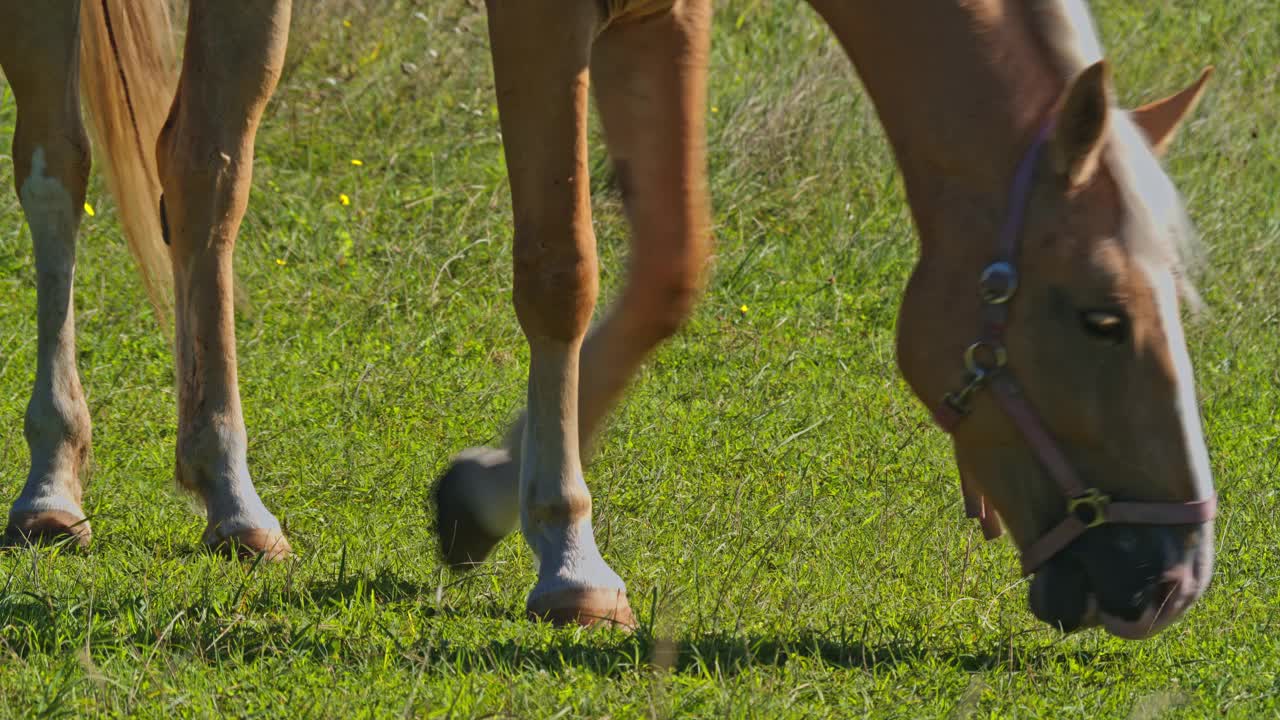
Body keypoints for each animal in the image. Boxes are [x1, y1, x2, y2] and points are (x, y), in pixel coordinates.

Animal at [440, 1, 1218, 638]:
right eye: (1103, 319)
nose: (1175, 582)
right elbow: (562, 273)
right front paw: (569, 558)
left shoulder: (664, 13)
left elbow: (671, 269)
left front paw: (488, 492)